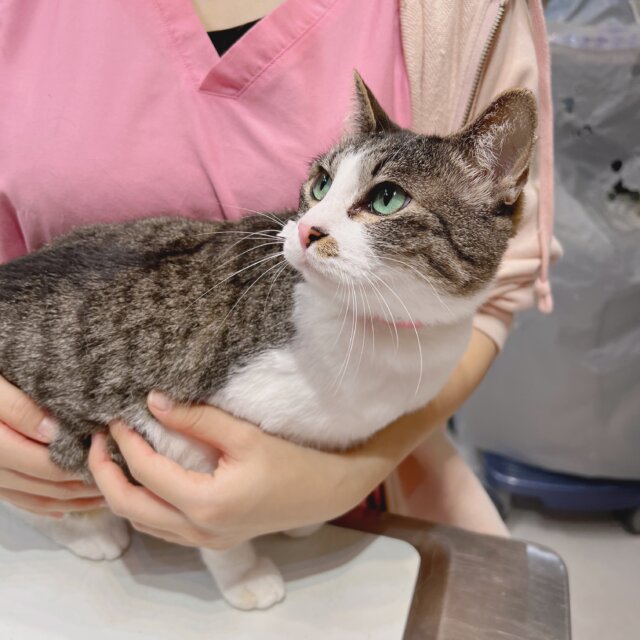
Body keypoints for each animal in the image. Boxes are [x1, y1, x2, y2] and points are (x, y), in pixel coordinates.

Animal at [0, 72, 536, 610]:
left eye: (387, 199)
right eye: (321, 183)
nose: (306, 229)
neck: (382, 336)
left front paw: (300, 521)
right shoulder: (167, 429)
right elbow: (216, 530)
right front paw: (245, 575)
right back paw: (91, 531)